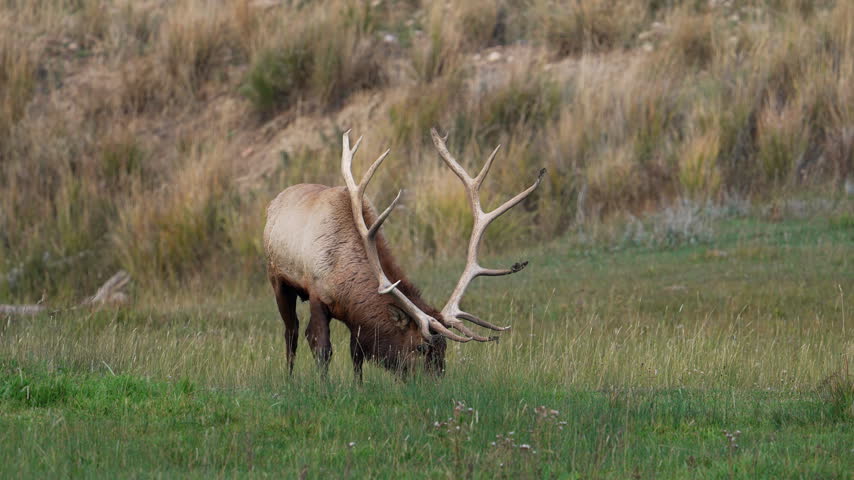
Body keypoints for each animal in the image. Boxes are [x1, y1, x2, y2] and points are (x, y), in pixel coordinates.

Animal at [264, 128, 545, 380]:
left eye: (445, 348)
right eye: (420, 347)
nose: (437, 383)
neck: (343, 278)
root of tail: (276, 200)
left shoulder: (357, 320)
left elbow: (357, 354)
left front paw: (358, 387)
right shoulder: (316, 294)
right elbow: (322, 348)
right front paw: (325, 388)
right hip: (278, 279)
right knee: (292, 332)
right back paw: (289, 379)